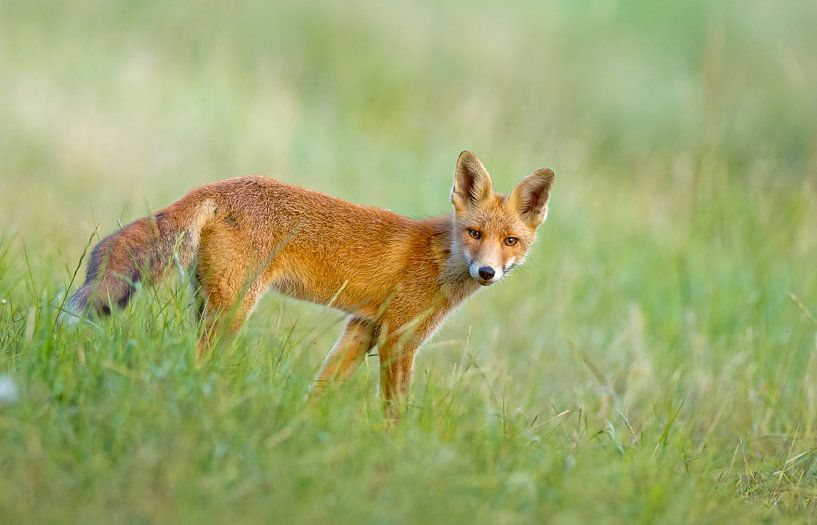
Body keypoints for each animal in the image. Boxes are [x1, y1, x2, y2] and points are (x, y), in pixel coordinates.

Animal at [65, 151, 556, 410]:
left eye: (510, 240)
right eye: (474, 234)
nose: (487, 272)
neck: (440, 260)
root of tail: (216, 186)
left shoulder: (362, 328)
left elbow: (320, 390)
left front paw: (304, 427)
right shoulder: (399, 339)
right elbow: (394, 412)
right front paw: (394, 454)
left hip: (209, 303)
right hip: (232, 311)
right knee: (197, 360)